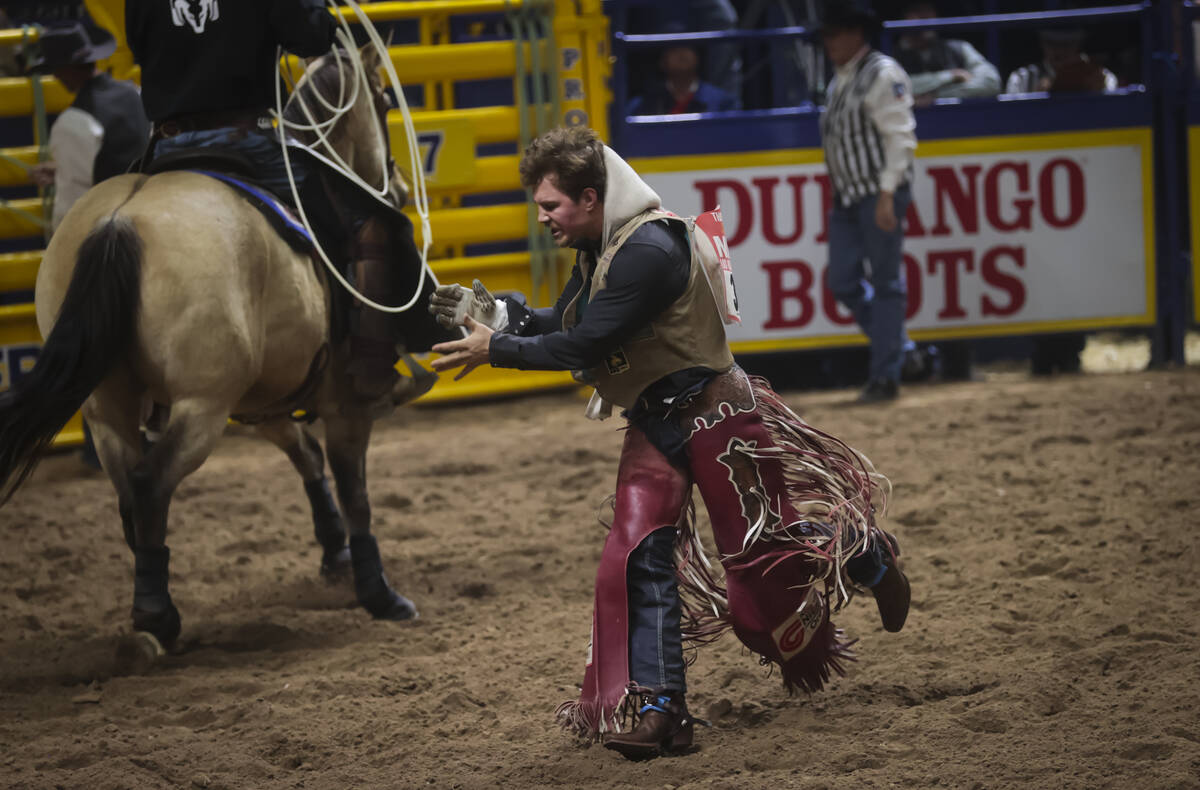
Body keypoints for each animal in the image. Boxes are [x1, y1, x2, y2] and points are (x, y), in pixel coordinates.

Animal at [0, 43, 444, 657]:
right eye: (382, 103)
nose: (398, 185)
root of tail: (118, 223)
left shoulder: (266, 398)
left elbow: (306, 456)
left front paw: (334, 552)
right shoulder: (344, 408)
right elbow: (354, 490)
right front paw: (380, 595)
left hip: (109, 405)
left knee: (129, 489)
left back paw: (151, 600)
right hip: (201, 405)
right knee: (150, 482)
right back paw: (157, 616)